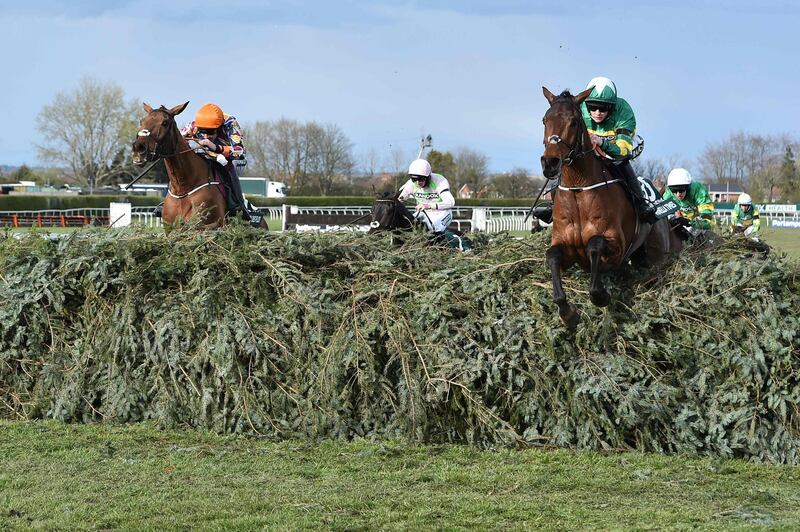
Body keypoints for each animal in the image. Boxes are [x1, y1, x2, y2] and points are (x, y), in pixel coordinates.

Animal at [540, 87, 680, 328]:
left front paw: (601, 295)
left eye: (574, 122)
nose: (550, 163)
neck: (578, 189)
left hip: (656, 255)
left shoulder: (616, 246)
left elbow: (594, 245)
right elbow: (552, 256)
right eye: (544, 120)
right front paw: (567, 312)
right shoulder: (565, 246)